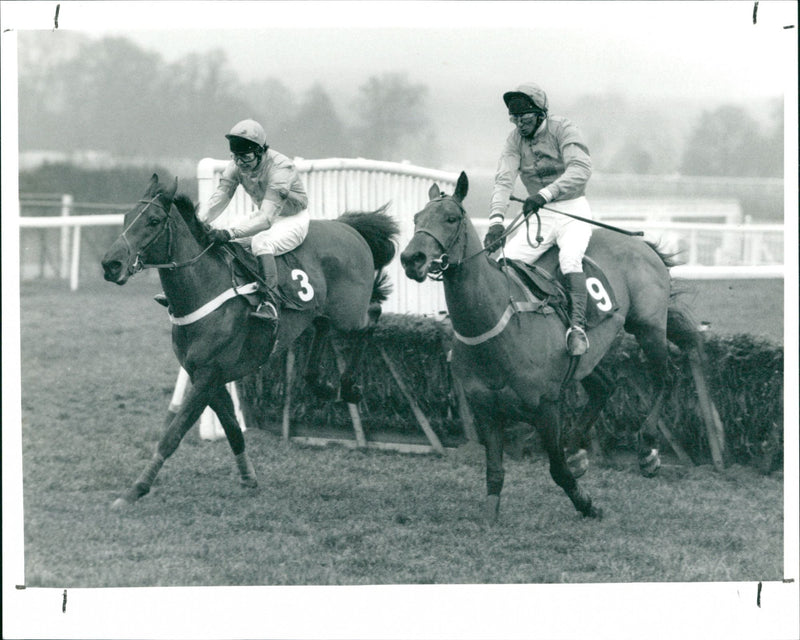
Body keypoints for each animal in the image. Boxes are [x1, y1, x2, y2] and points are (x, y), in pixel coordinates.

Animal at [101, 172, 398, 508]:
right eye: (126, 218)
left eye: (153, 221)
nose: (111, 264)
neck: (204, 288)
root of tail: (348, 227)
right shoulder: (207, 376)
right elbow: (233, 429)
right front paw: (248, 478)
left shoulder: (207, 376)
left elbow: (172, 434)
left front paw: (135, 489)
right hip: (322, 309)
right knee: (323, 325)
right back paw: (319, 382)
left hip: (349, 311)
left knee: (370, 316)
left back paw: (350, 386)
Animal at [400, 172, 700, 524]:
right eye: (416, 218)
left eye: (451, 218)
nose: (411, 259)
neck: (497, 324)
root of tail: (640, 243)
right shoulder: (486, 408)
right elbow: (494, 470)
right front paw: (490, 515)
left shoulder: (546, 406)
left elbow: (556, 469)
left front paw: (587, 504)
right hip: (587, 355)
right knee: (605, 385)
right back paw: (577, 452)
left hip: (648, 327)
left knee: (666, 376)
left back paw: (649, 449)